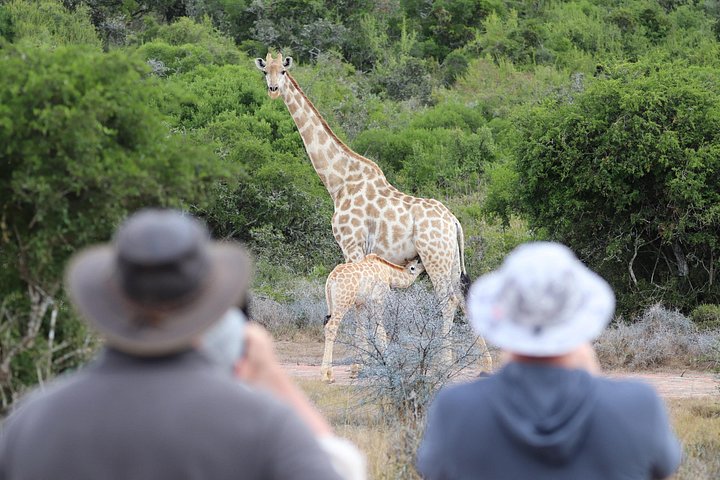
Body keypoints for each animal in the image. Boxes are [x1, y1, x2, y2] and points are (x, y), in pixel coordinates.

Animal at [322, 254, 424, 382]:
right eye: (413, 267)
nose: (424, 266)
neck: (389, 274)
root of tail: (331, 280)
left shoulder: (360, 304)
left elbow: (361, 331)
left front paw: (358, 368)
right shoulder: (378, 300)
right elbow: (381, 331)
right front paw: (387, 364)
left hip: (332, 305)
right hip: (343, 303)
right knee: (331, 328)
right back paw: (327, 375)